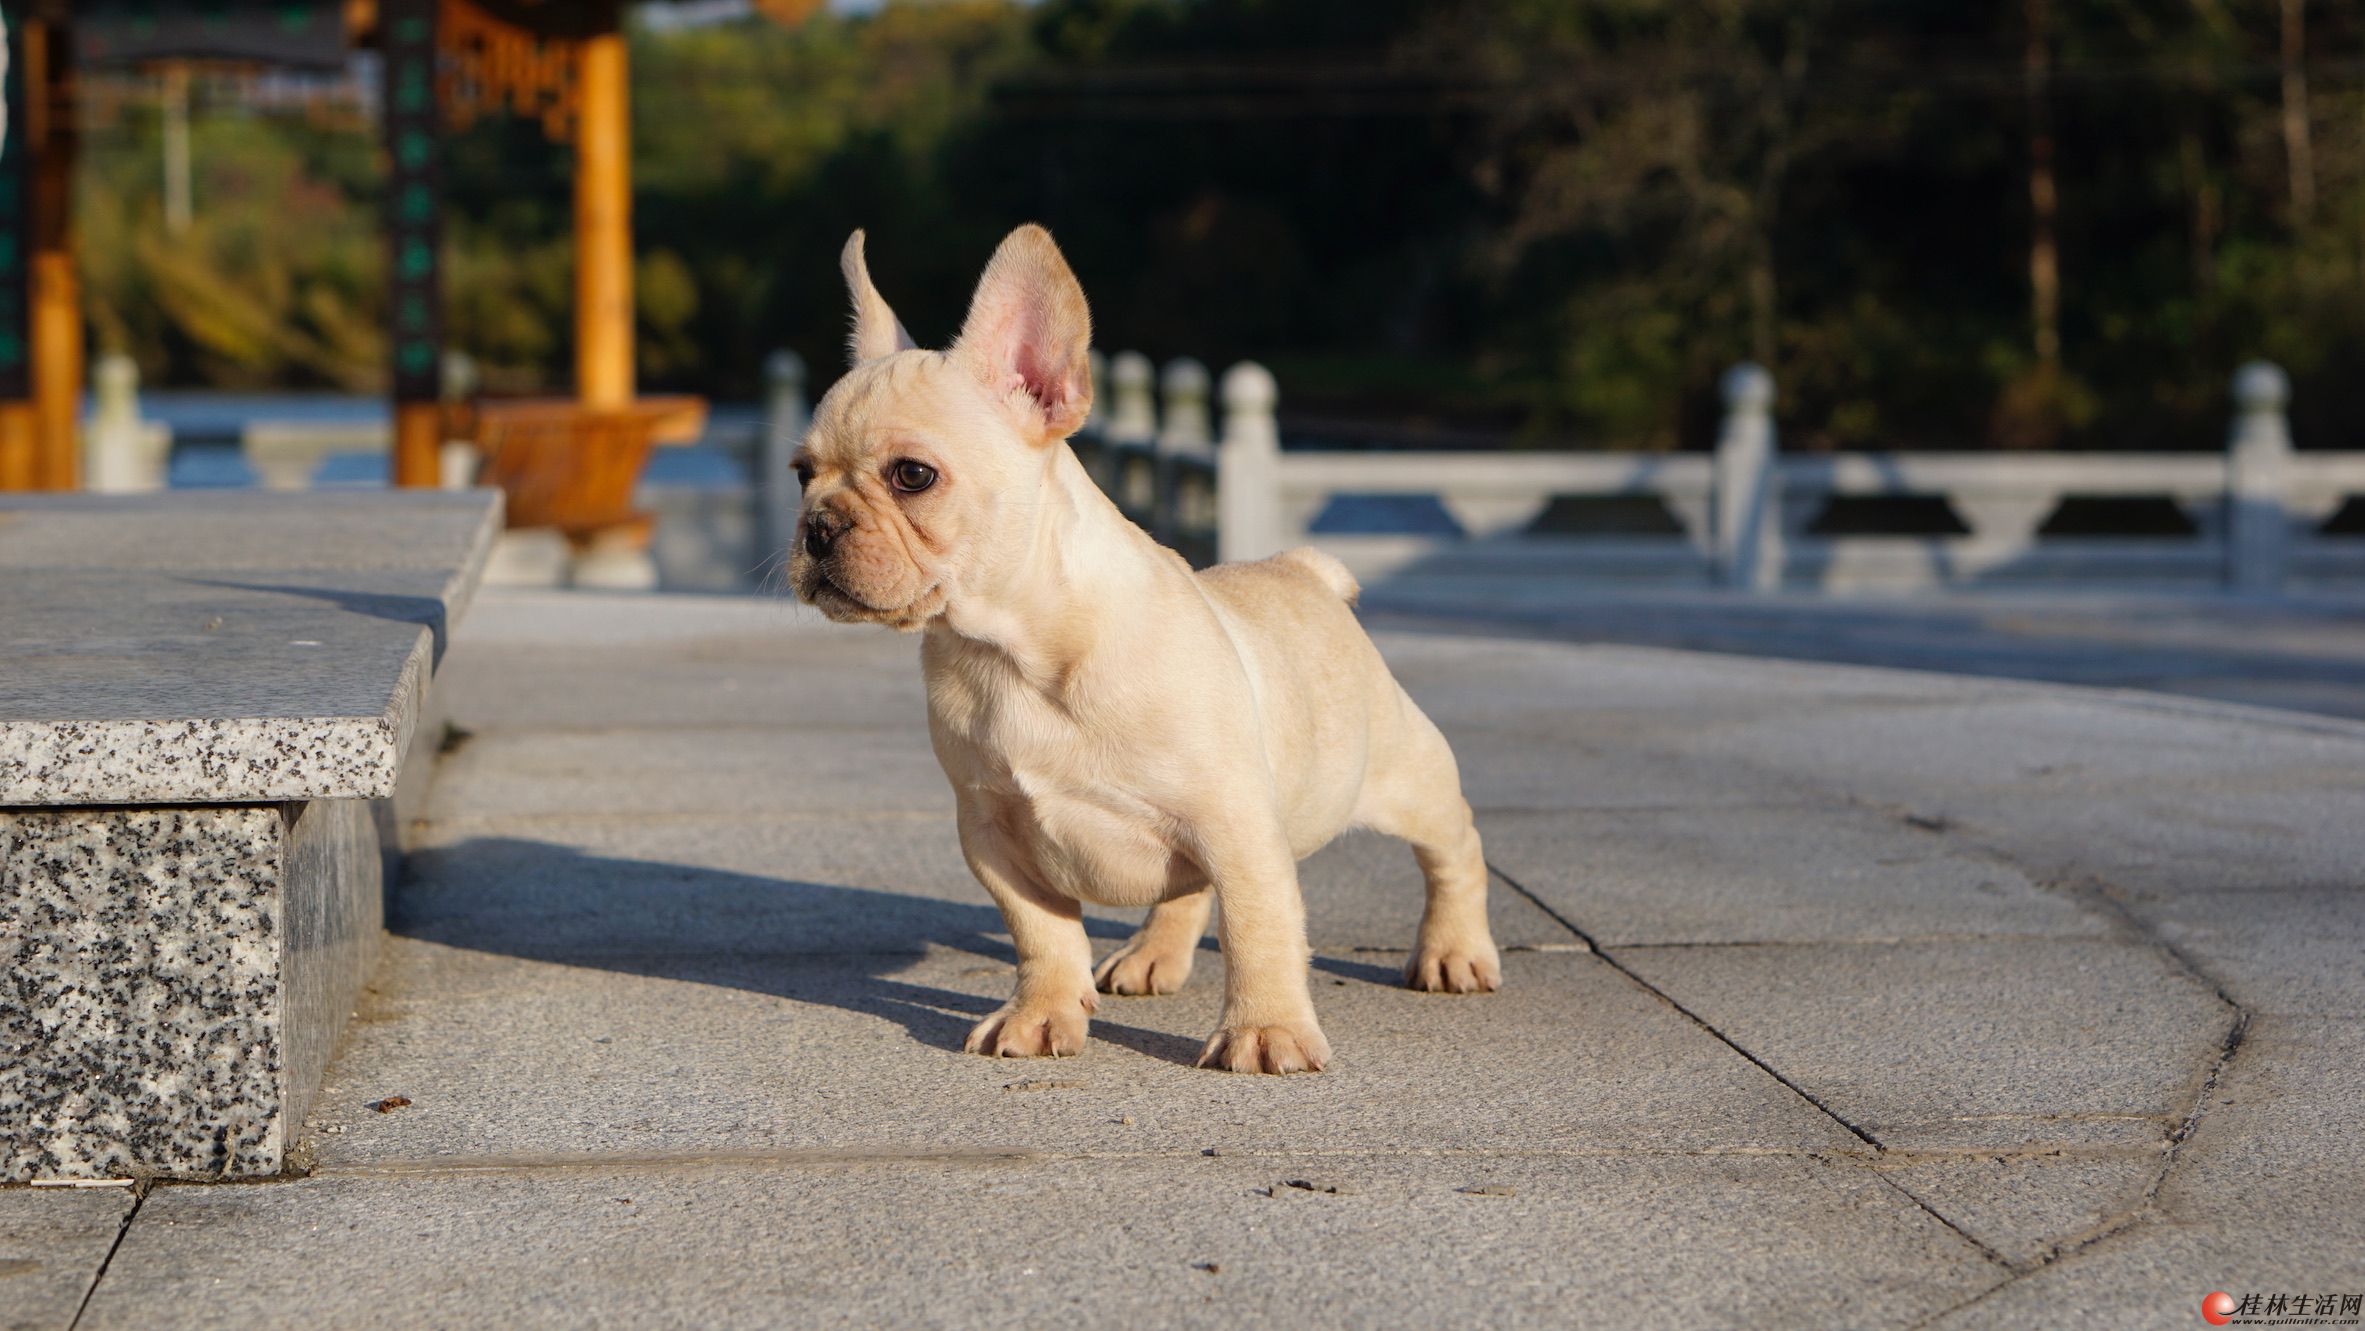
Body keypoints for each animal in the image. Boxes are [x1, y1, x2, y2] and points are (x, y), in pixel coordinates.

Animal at [789, 226, 1494, 1073]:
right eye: (800, 473)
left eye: (912, 475)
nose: (816, 526)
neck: (1009, 650)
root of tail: (1303, 569)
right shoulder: (993, 833)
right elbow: (1042, 932)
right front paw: (1041, 1013)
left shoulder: (1236, 826)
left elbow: (1258, 930)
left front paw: (1264, 1030)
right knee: (1184, 892)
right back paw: (1152, 955)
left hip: (1402, 774)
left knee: (1454, 845)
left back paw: (1454, 950)